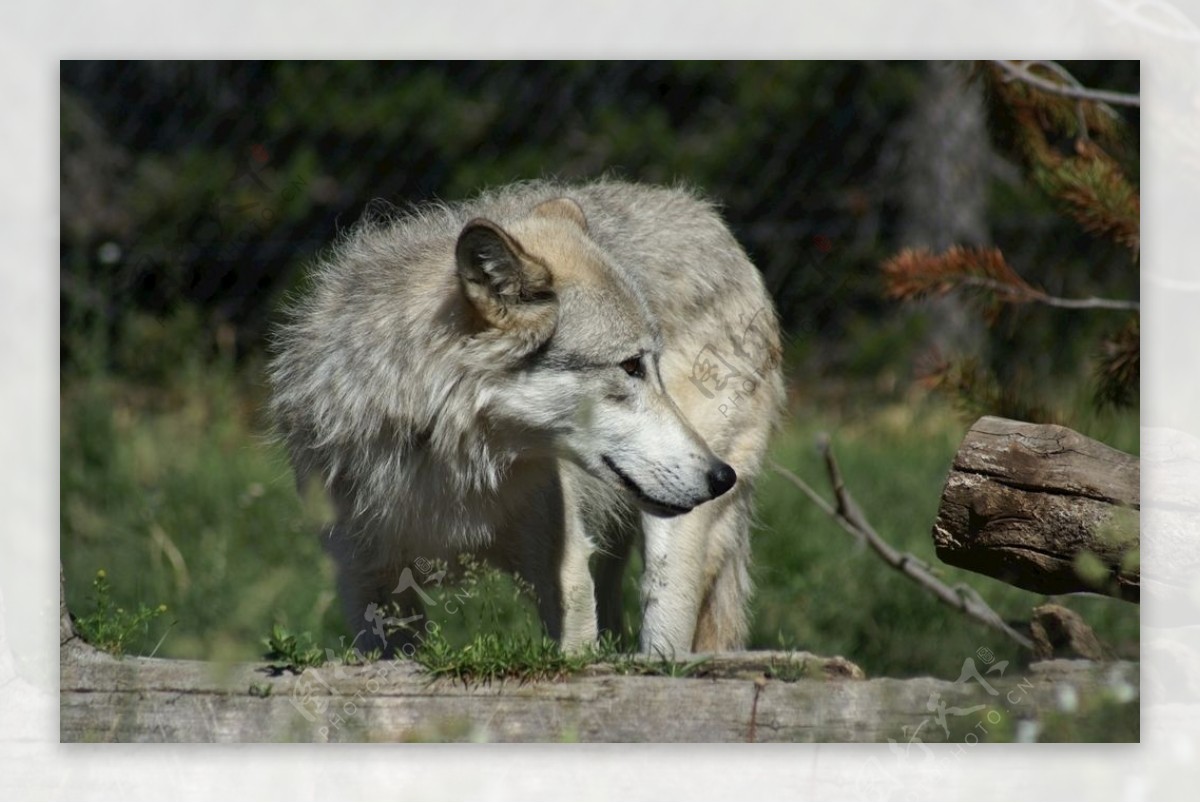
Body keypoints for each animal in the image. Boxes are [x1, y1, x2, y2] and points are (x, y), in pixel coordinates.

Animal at [267, 178, 782, 652]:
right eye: (632, 366)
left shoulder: (565, 574)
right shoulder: (367, 589)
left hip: (673, 547)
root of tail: (709, 217)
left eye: (651, 364)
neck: (447, 461)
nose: (722, 476)